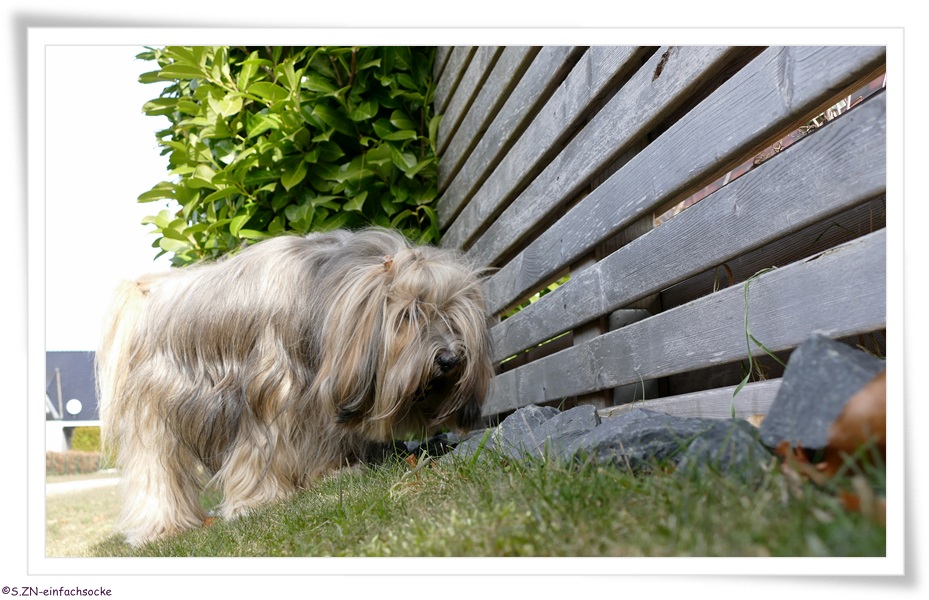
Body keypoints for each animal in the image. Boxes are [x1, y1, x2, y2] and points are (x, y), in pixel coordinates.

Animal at [96, 227, 494, 546]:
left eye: (452, 316)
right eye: (410, 314)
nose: (449, 359)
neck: (323, 300)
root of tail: (149, 296)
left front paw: (333, 474)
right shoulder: (267, 391)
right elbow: (259, 452)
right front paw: (258, 501)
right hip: (156, 411)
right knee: (156, 470)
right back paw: (161, 527)